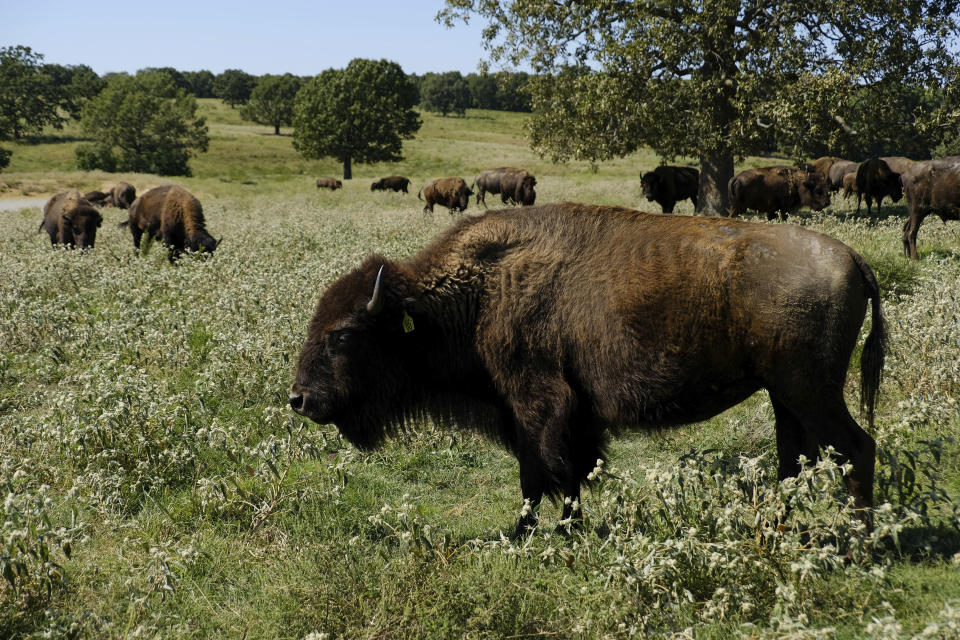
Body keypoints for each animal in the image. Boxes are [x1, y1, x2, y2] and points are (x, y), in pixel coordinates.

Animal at [290, 201, 884, 536]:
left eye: (343, 335)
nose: (299, 400)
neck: (476, 294)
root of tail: (851, 257)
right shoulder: (566, 415)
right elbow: (566, 473)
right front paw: (557, 529)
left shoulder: (535, 406)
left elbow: (542, 474)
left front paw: (532, 533)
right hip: (786, 398)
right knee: (796, 460)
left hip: (811, 392)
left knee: (857, 447)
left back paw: (860, 545)